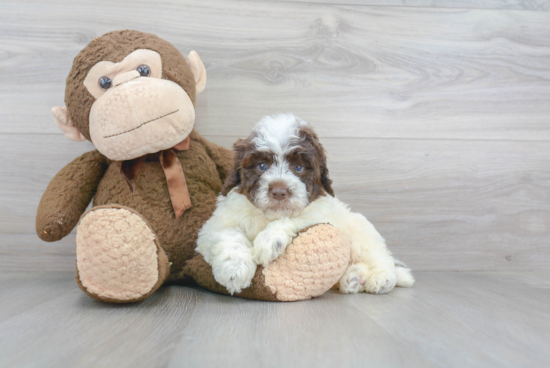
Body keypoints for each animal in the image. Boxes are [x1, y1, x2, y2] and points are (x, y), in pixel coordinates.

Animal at [196, 113, 416, 294]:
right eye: (262, 166)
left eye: (299, 168)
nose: (279, 191)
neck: (268, 216)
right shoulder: (215, 225)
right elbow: (228, 235)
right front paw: (234, 270)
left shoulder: (323, 214)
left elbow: (297, 218)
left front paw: (268, 240)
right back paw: (353, 279)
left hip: (360, 231)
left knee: (380, 257)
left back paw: (381, 279)